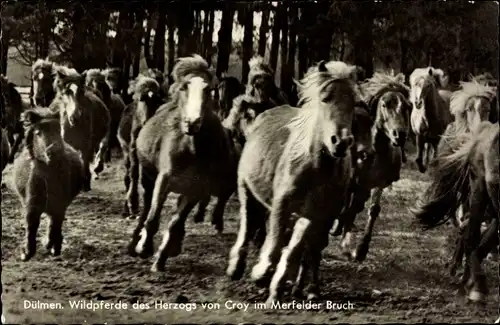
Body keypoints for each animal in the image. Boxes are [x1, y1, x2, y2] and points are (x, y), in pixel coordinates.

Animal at [11, 107, 85, 260]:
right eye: (38, 133)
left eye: (58, 130)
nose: (55, 151)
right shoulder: (32, 206)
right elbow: (31, 227)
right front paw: (26, 253)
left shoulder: (59, 206)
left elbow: (54, 226)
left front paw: (51, 246)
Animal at [117, 75, 164, 218]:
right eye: (140, 99)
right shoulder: (133, 148)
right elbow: (135, 174)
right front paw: (133, 204)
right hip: (127, 151)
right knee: (128, 176)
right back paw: (127, 209)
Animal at [128, 54, 239, 272]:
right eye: (184, 87)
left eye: (208, 89)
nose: (192, 122)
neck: (191, 149)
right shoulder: (164, 180)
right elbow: (153, 216)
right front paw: (144, 248)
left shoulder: (195, 189)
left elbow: (175, 222)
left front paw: (161, 258)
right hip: (148, 176)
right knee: (146, 207)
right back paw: (136, 240)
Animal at [227, 60, 360, 304]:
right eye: (325, 98)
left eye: (354, 102)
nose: (341, 142)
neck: (315, 168)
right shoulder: (282, 205)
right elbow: (275, 245)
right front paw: (261, 273)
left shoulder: (313, 216)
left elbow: (293, 250)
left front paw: (276, 287)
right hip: (246, 190)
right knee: (248, 225)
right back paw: (236, 267)